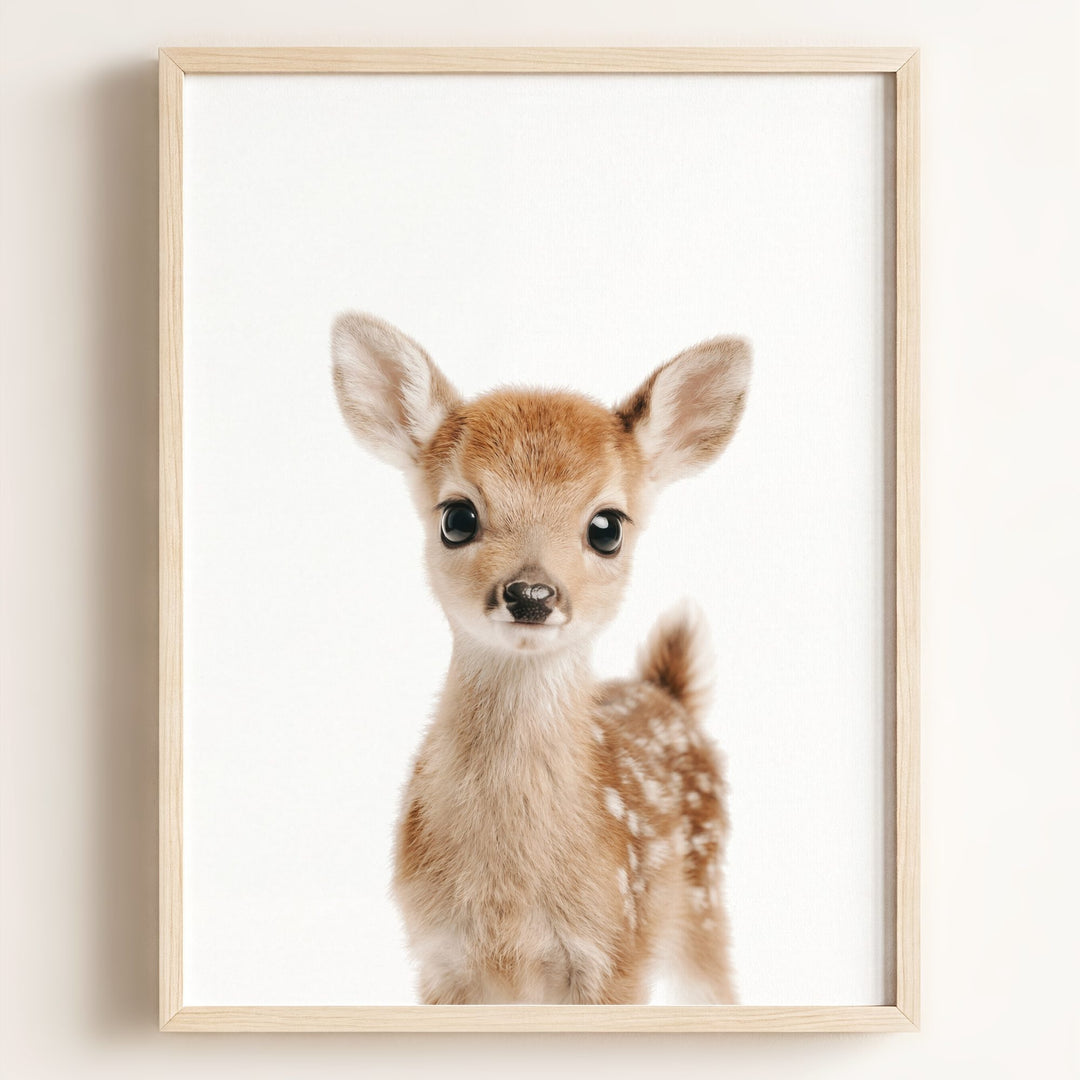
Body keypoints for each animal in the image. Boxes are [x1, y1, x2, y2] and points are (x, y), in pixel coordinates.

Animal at [332, 312, 751, 1005]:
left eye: (607, 526)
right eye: (457, 516)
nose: (531, 594)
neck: (509, 904)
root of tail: (668, 692)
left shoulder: (617, 951)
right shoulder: (437, 958)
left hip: (703, 902)